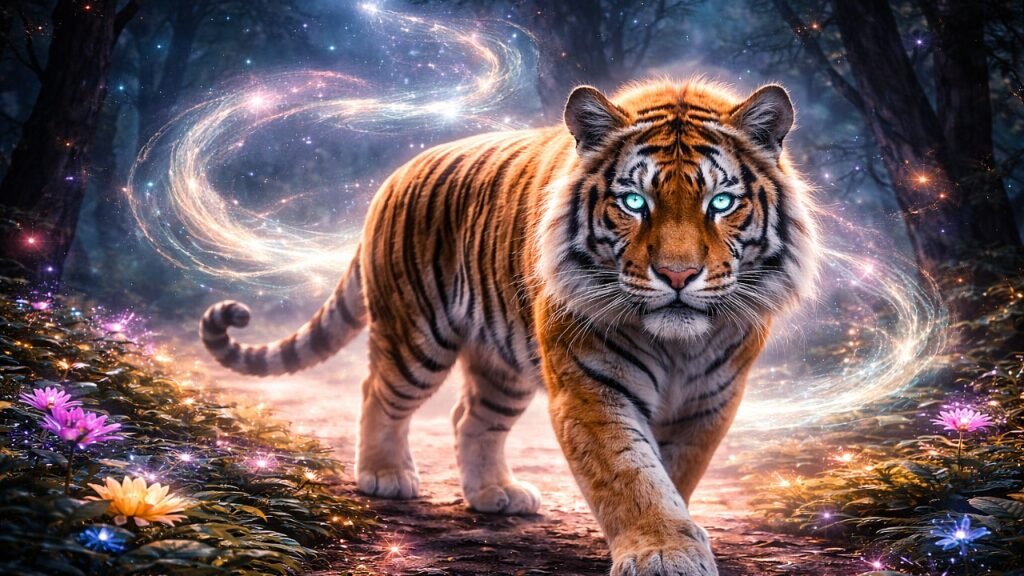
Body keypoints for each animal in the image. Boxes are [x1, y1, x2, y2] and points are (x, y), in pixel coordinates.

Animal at [200, 78, 819, 575]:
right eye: (633, 201)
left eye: (721, 203)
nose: (678, 274)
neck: (679, 347)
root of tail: (395, 175)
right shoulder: (591, 388)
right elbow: (632, 478)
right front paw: (665, 552)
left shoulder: (710, 400)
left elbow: (674, 474)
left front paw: (679, 531)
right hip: (416, 336)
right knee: (378, 390)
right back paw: (384, 474)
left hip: (503, 363)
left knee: (471, 418)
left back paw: (495, 493)